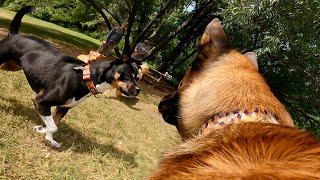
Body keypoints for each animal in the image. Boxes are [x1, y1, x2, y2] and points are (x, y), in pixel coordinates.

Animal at [0, 6, 141, 148]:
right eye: (128, 76)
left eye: (137, 77)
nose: (138, 90)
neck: (85, 77)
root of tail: (14, 34)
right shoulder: (40, 101)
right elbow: (53, 126)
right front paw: (42, 129)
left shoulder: (63, 108)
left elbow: (54, 124)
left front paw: (49, 138)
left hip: (11, 66)